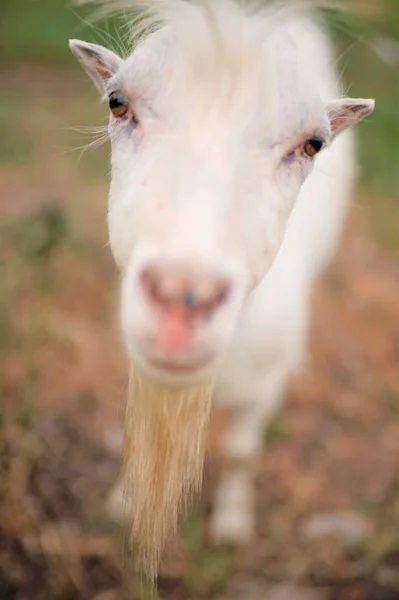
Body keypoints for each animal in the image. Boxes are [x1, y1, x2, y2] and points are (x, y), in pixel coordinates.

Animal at [71, 0, 376, 580]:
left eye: (314, 143)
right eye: (117, 103)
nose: (181, 297)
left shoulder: (266, 383)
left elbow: (240, 452)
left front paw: (232, 525)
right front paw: (123, 503)